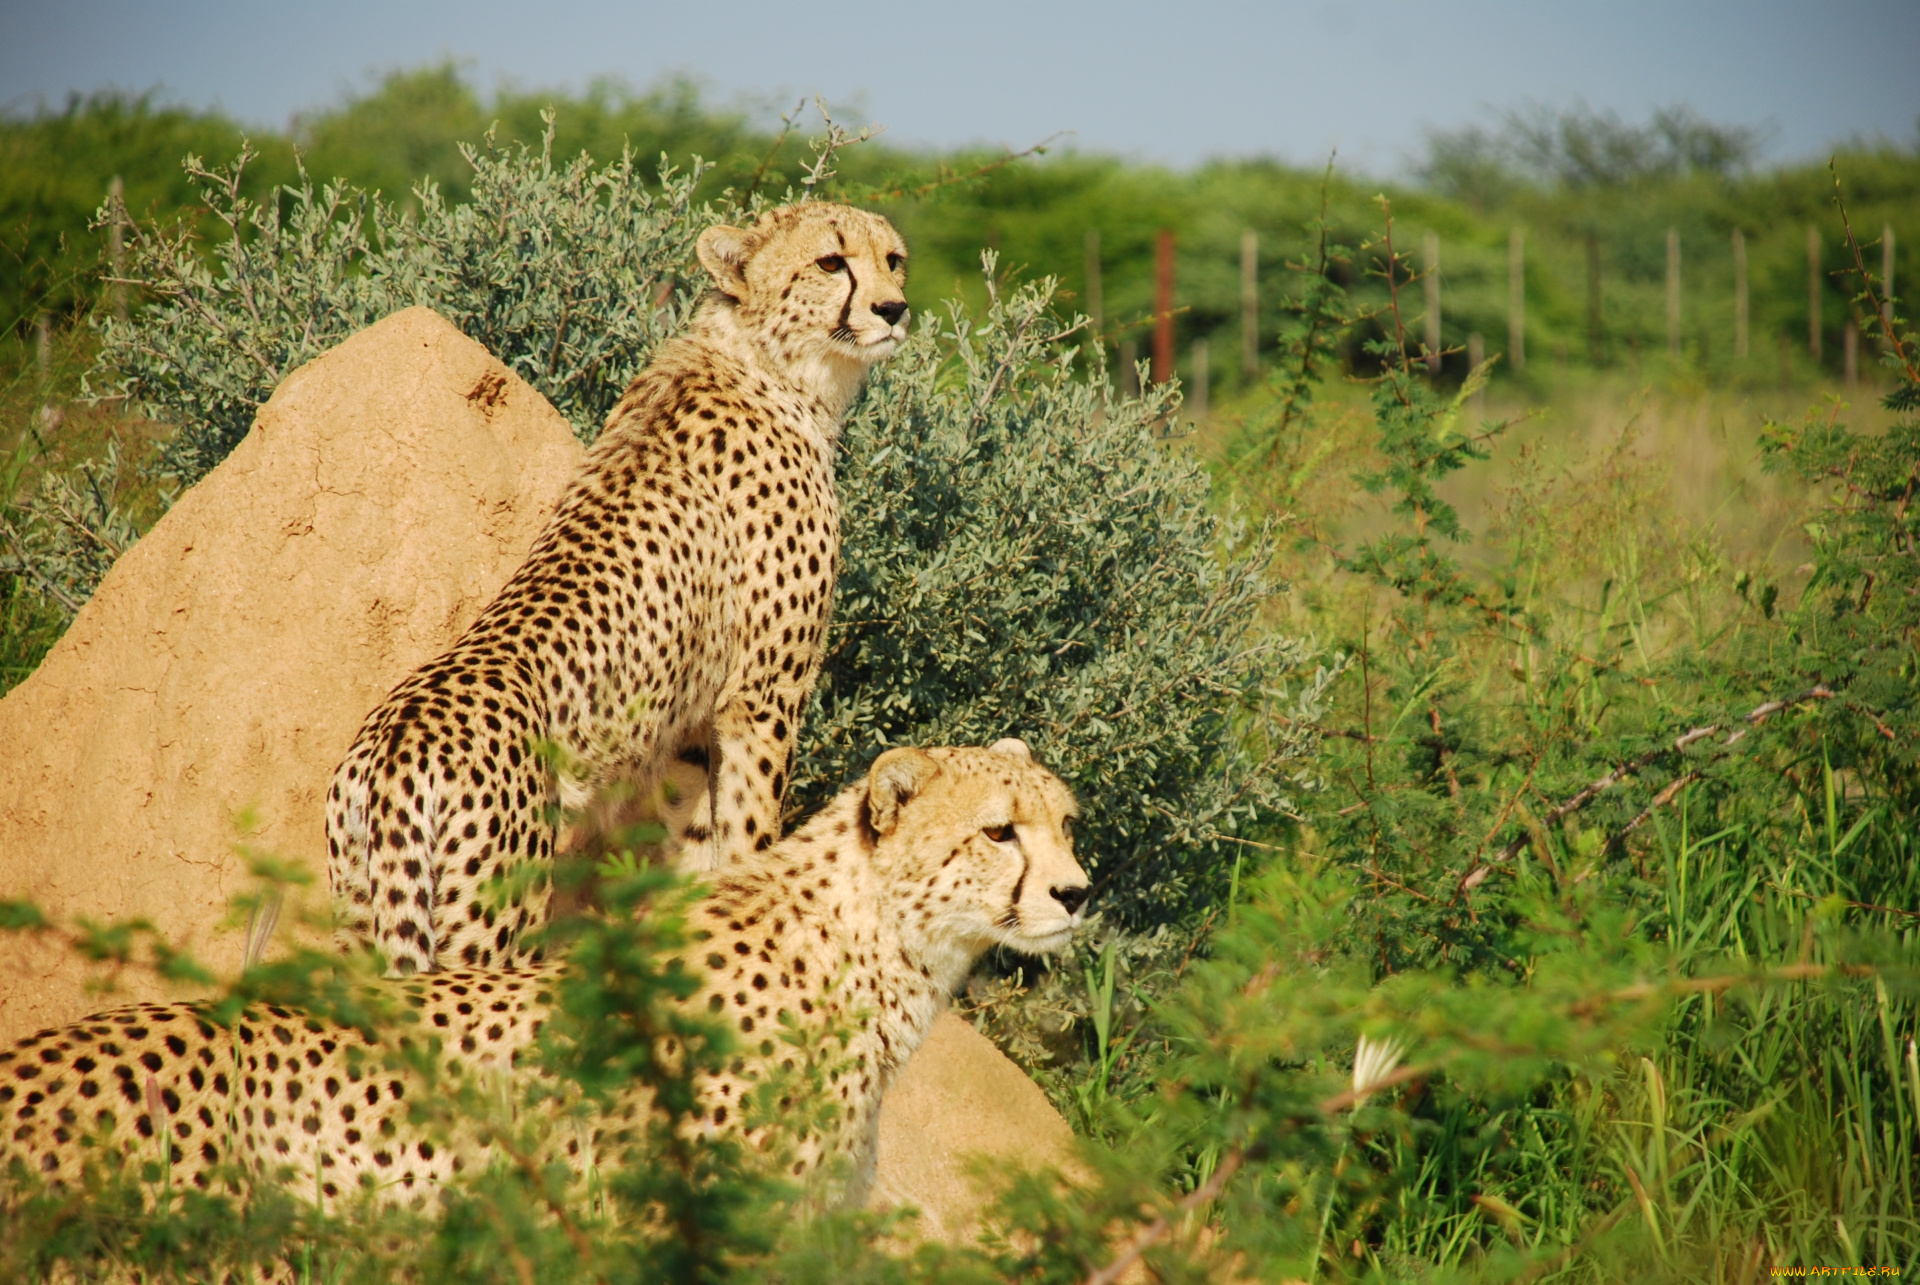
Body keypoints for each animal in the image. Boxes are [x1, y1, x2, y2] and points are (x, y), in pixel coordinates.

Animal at [326, 200, 910, 971]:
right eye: (831, 262)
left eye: (893, 260)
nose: (894, 308)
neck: (772, 365)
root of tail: (390, 747)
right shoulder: (762, 696)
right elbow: (750, 831)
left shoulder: (689, 724)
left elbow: (697, 842)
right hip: (490, 917)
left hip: (357, 913)